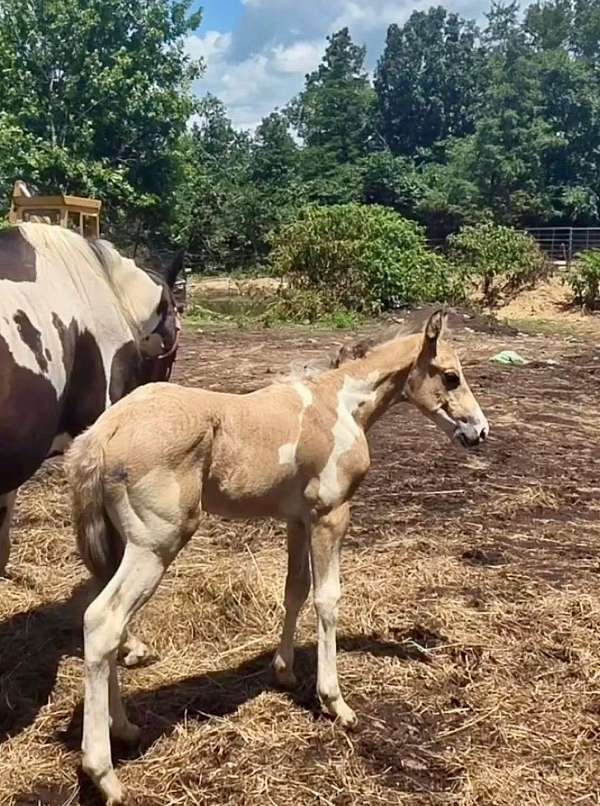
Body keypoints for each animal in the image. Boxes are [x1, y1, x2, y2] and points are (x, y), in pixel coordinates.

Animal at [66, 309, 489, 804]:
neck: (338, 405)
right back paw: (105, 774)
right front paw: (335, 703)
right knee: (103, 621)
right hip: (156, 544)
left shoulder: (297, 520)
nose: (480, 431)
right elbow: (327, 598)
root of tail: (101, 432)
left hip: (118, 545)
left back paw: (125, 728)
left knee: (110, 629)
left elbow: (295, 591)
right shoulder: (330, 515)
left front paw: (284, 673)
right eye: (451, 375)